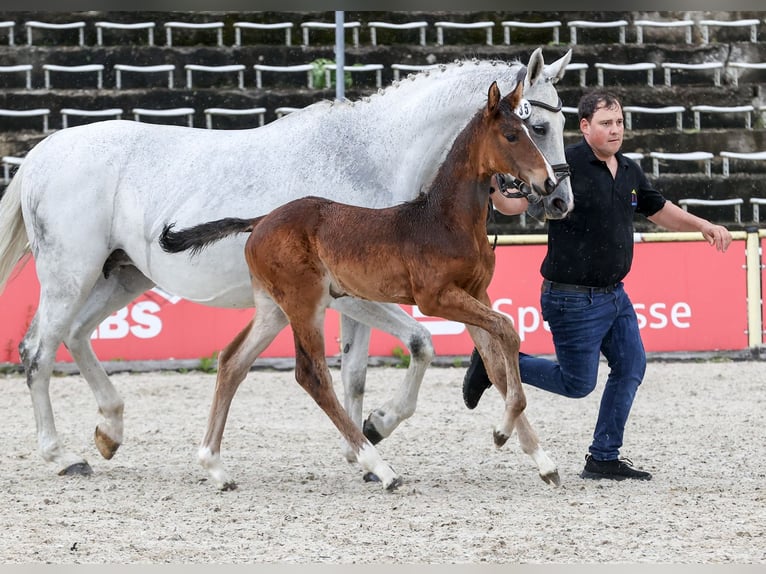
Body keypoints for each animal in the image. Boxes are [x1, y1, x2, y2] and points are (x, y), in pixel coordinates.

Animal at [0, 48, 576, 482]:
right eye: (535, 126)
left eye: (559, 121)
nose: (558, 197)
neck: (369, 156)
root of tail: (42, 152)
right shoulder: (359, 297)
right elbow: (418, 343)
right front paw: (376, 429)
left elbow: (358, 371)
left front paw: (361, 445)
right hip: (70, 275)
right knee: (38, 351)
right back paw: (62, 455)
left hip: (122, 275)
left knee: (76, 336)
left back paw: (109, 431)